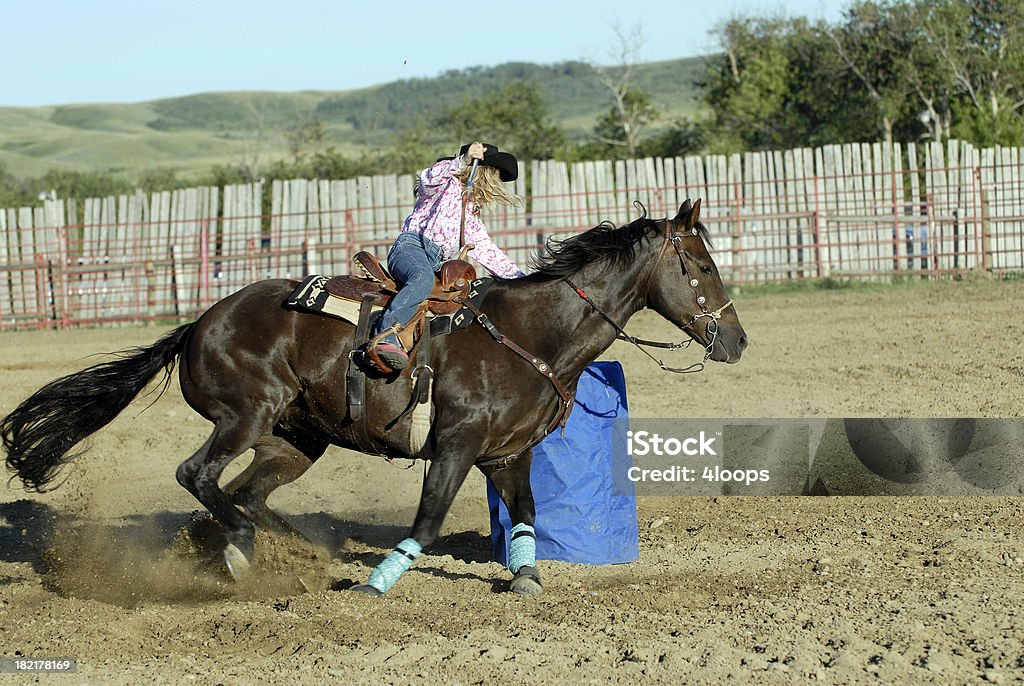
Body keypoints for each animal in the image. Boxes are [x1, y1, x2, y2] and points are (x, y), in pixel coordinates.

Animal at [4, 198, 749, 597]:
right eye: (702, 264)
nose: (737, 340)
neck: (528, 335)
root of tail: (199, 323)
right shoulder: (454, 448)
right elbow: (428, 522)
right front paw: (377, 583)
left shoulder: (507, 456)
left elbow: (529, 516)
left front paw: (526, 578)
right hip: (243, 415)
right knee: (198, 475)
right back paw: (244, 550)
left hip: (295, 441)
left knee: (244, 492)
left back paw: (285, 548)